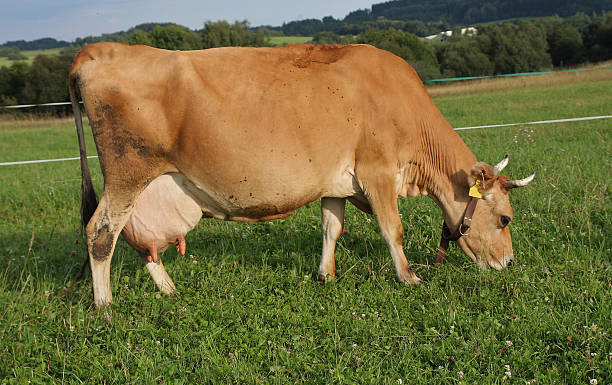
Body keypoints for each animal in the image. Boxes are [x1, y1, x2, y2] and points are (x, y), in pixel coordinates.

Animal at [69, 42, 532, 306]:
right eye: (505, 218)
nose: (509, 263)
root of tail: (97, 49)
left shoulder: (337, 181)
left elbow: (331, 227)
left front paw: (325, 275)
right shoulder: (377, 171)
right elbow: (392, 229)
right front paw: (410, 277)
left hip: (144, 183)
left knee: (135, 239)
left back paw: (168, 289)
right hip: (127, 172)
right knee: (100, 232)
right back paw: (105, 306)